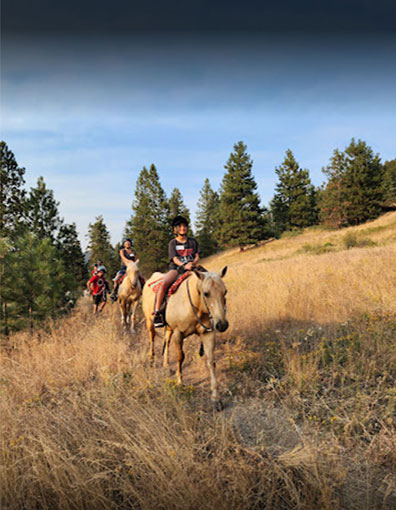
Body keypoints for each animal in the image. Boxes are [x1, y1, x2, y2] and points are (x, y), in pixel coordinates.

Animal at [142, 266, 229, 410]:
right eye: (206, 293)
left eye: (225, 291)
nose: (222, 324)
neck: (194, 303)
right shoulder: (178, 333)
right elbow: (180, 357)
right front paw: (179, 382)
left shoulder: (208, 333)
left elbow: (211, 362)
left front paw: (216, 398)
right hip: (150, 322)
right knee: (152, 338)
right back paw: (151, 359)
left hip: (169, 328)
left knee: (166, 341)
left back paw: (166, 366)